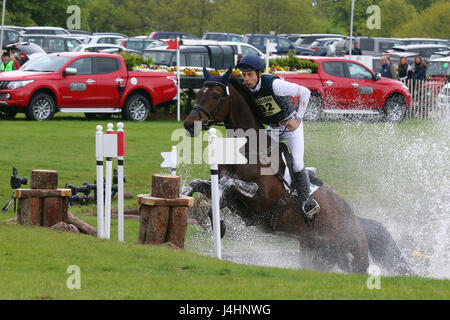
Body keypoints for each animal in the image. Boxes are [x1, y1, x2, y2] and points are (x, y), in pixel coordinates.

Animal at [182, 69, 412, 274]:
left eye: (215, 96)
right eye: (198, 93)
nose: (188, 125)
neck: (247, 148)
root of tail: (357, 221)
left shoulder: (263, 199)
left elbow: (229, 185)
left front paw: (218, 222)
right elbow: (200, 185)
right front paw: (187, 198)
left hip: (355, 258)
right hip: (317, 256)